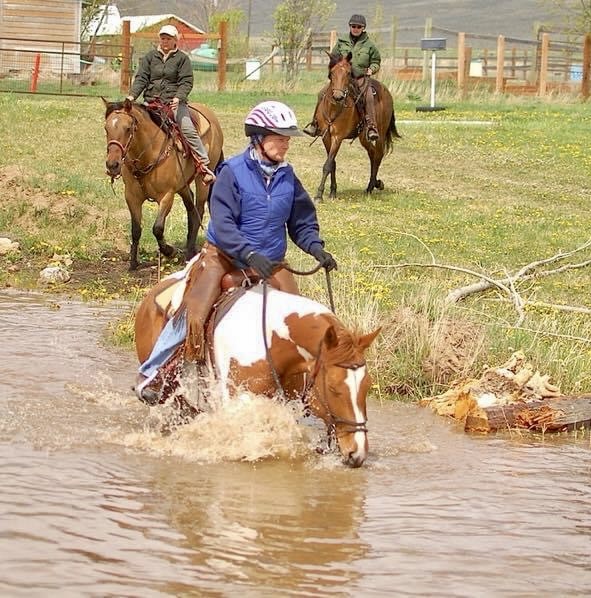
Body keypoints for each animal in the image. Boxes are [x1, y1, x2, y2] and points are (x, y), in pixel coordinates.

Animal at [103, 98, 224, 270]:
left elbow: (157, 228)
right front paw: (133, 263)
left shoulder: (167, 196)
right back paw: (189, 248)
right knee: (191, 208)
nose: (112, 165)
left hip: (203, 181)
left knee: (198, 210)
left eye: (127, 128)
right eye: (106, 128)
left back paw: (189, 254)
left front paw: (170, 251)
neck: (148, 154)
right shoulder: (132, 197)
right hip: (183, 185)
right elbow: (136, 229)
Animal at [313, 52, 401, 201]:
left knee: (378, 155)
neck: (334, 109)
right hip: (363, 137)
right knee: (372, 154)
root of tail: (387, 92)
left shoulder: (337, 137)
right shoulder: (326, 137)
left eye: (348, 73)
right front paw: (332, 191)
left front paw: (319, 194)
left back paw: (371, 187)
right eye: (332, 72)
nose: (338, 96)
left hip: (380, 134)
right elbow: (332, 164)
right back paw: (375, 183)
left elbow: (328, 164)